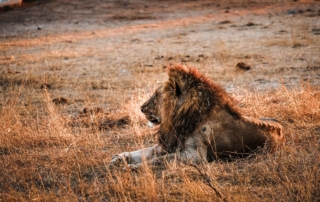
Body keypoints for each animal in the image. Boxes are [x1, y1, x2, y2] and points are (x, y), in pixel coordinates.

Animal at [110, 64, 284, 167]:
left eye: (157, 95)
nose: (141, 108)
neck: (179, 119)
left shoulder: (194, 156)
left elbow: (159, 160)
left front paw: (131, 167)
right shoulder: (168, 145)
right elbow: (143, 152)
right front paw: (120, 158)